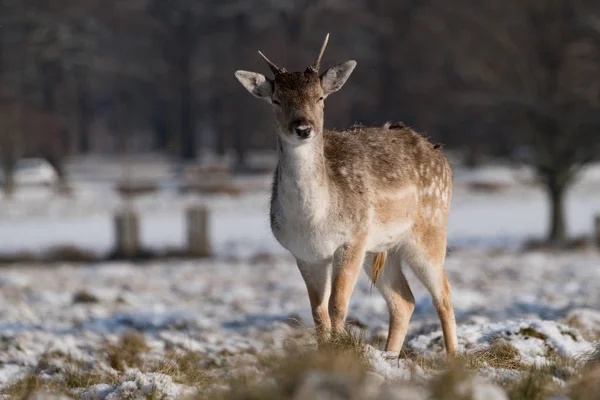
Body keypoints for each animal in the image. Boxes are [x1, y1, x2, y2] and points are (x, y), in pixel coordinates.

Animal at [236, 33, 460, 354]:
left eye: (319, 97)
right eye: (277, 99)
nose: (303, 128)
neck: (314, 221)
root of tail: (439, 153)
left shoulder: (352, 239)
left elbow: (337, 305)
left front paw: (342, 351)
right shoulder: (305, 254)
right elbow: (318, 312)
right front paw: (325, 352)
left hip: (429, 232)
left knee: (443, 294)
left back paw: (453, 357)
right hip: (381, 248)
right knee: (404, 300)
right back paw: (389, 356)